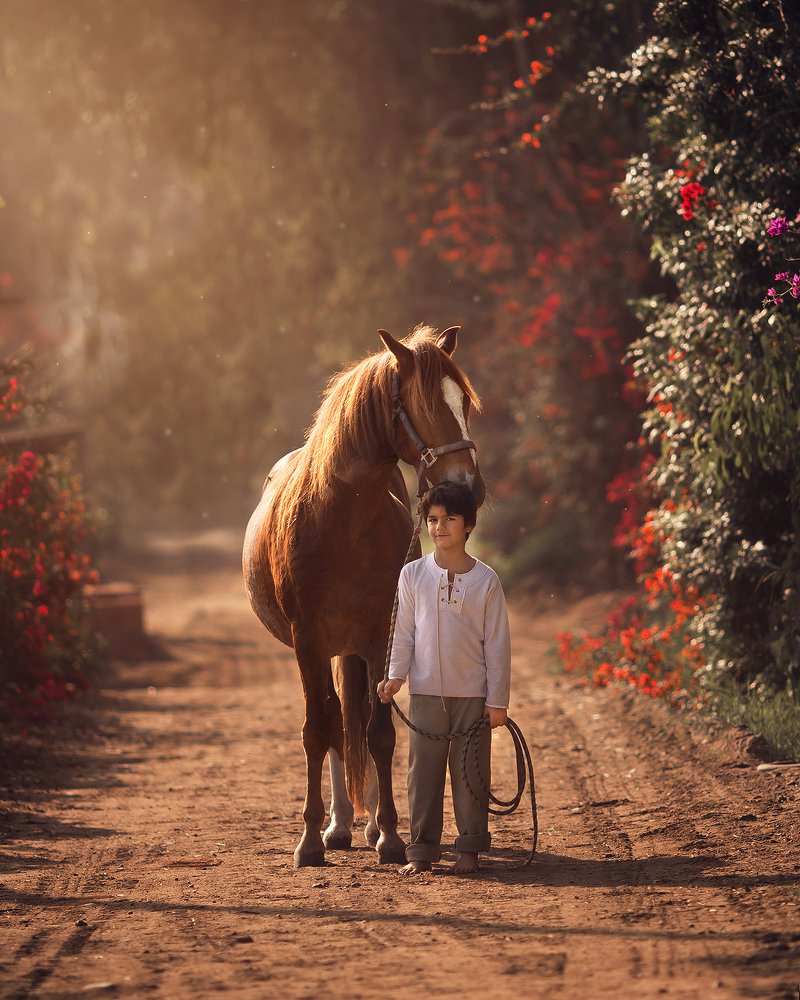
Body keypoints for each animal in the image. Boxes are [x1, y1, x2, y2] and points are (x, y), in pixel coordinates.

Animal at [242, 324, 485, 867]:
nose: (470, 490)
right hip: (330, 649)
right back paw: (336, 826)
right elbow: (319, 730)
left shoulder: (380, 637)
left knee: (358, 724)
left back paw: (369, 823)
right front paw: (310, 840)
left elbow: (380, 733)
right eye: (424, 404)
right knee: (336, 722)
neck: (341, 519)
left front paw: (390, 835)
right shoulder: (309, 641)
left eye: (464, 403)